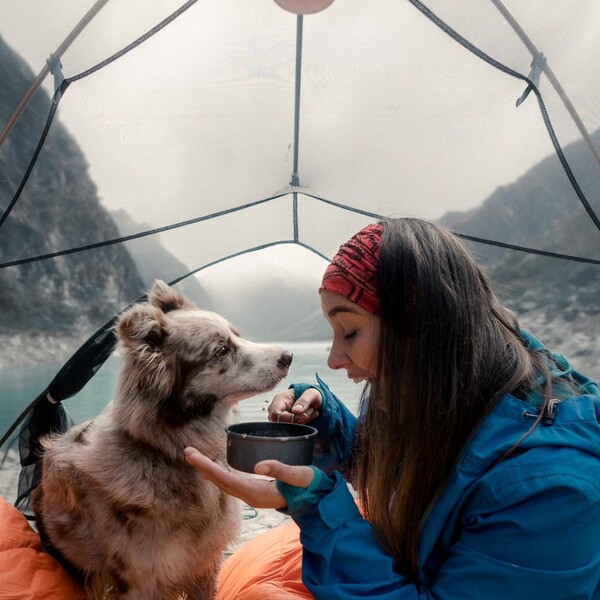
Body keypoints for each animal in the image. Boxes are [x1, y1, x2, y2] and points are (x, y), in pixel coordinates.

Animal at [31, 280, 293, 599]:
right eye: (221, 350)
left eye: (237, 336)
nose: (288, 356)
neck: (164, 451)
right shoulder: (140, 581)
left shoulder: (204, 566)